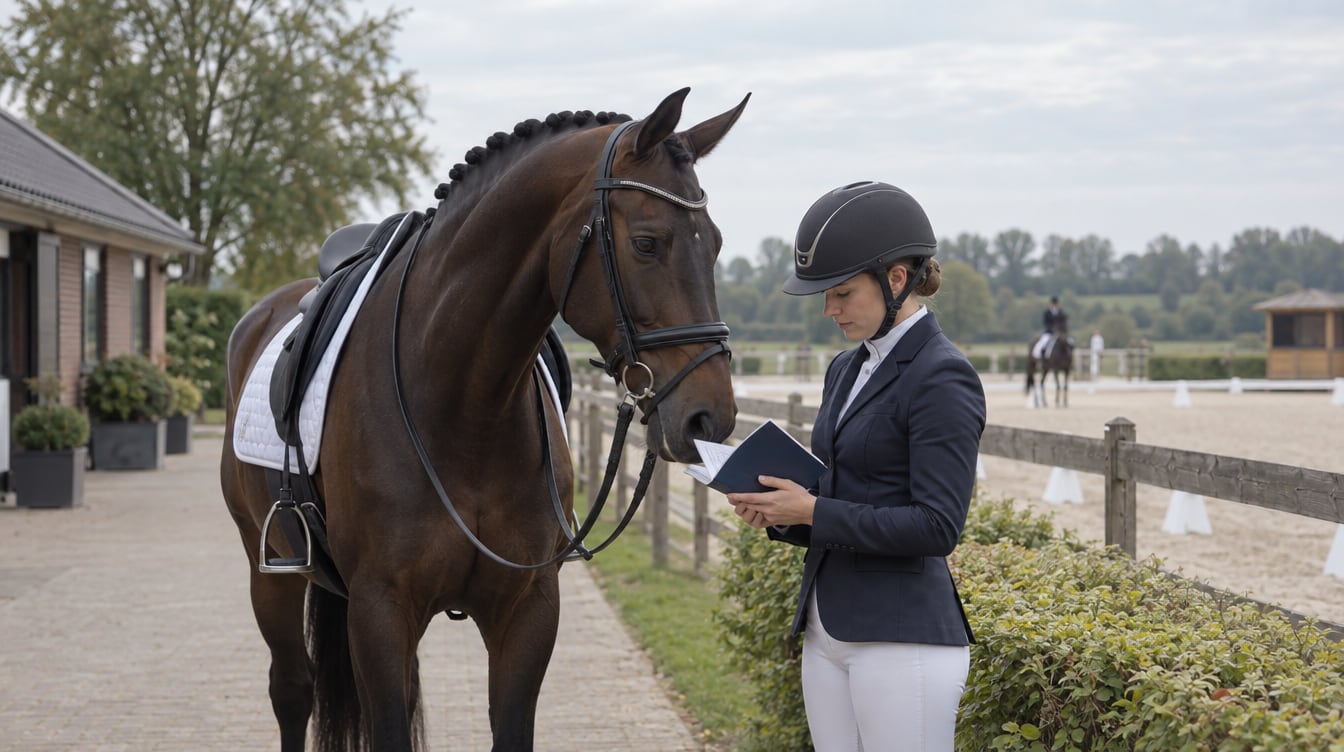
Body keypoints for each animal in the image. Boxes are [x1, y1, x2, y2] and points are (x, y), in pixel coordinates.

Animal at [220, 87, 747, 751]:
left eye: (717, 244)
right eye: (648, 243)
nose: (710, 417)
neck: (464, 410)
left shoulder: (527, 609)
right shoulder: (380, 609)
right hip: (269, 569)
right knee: (292, 689)